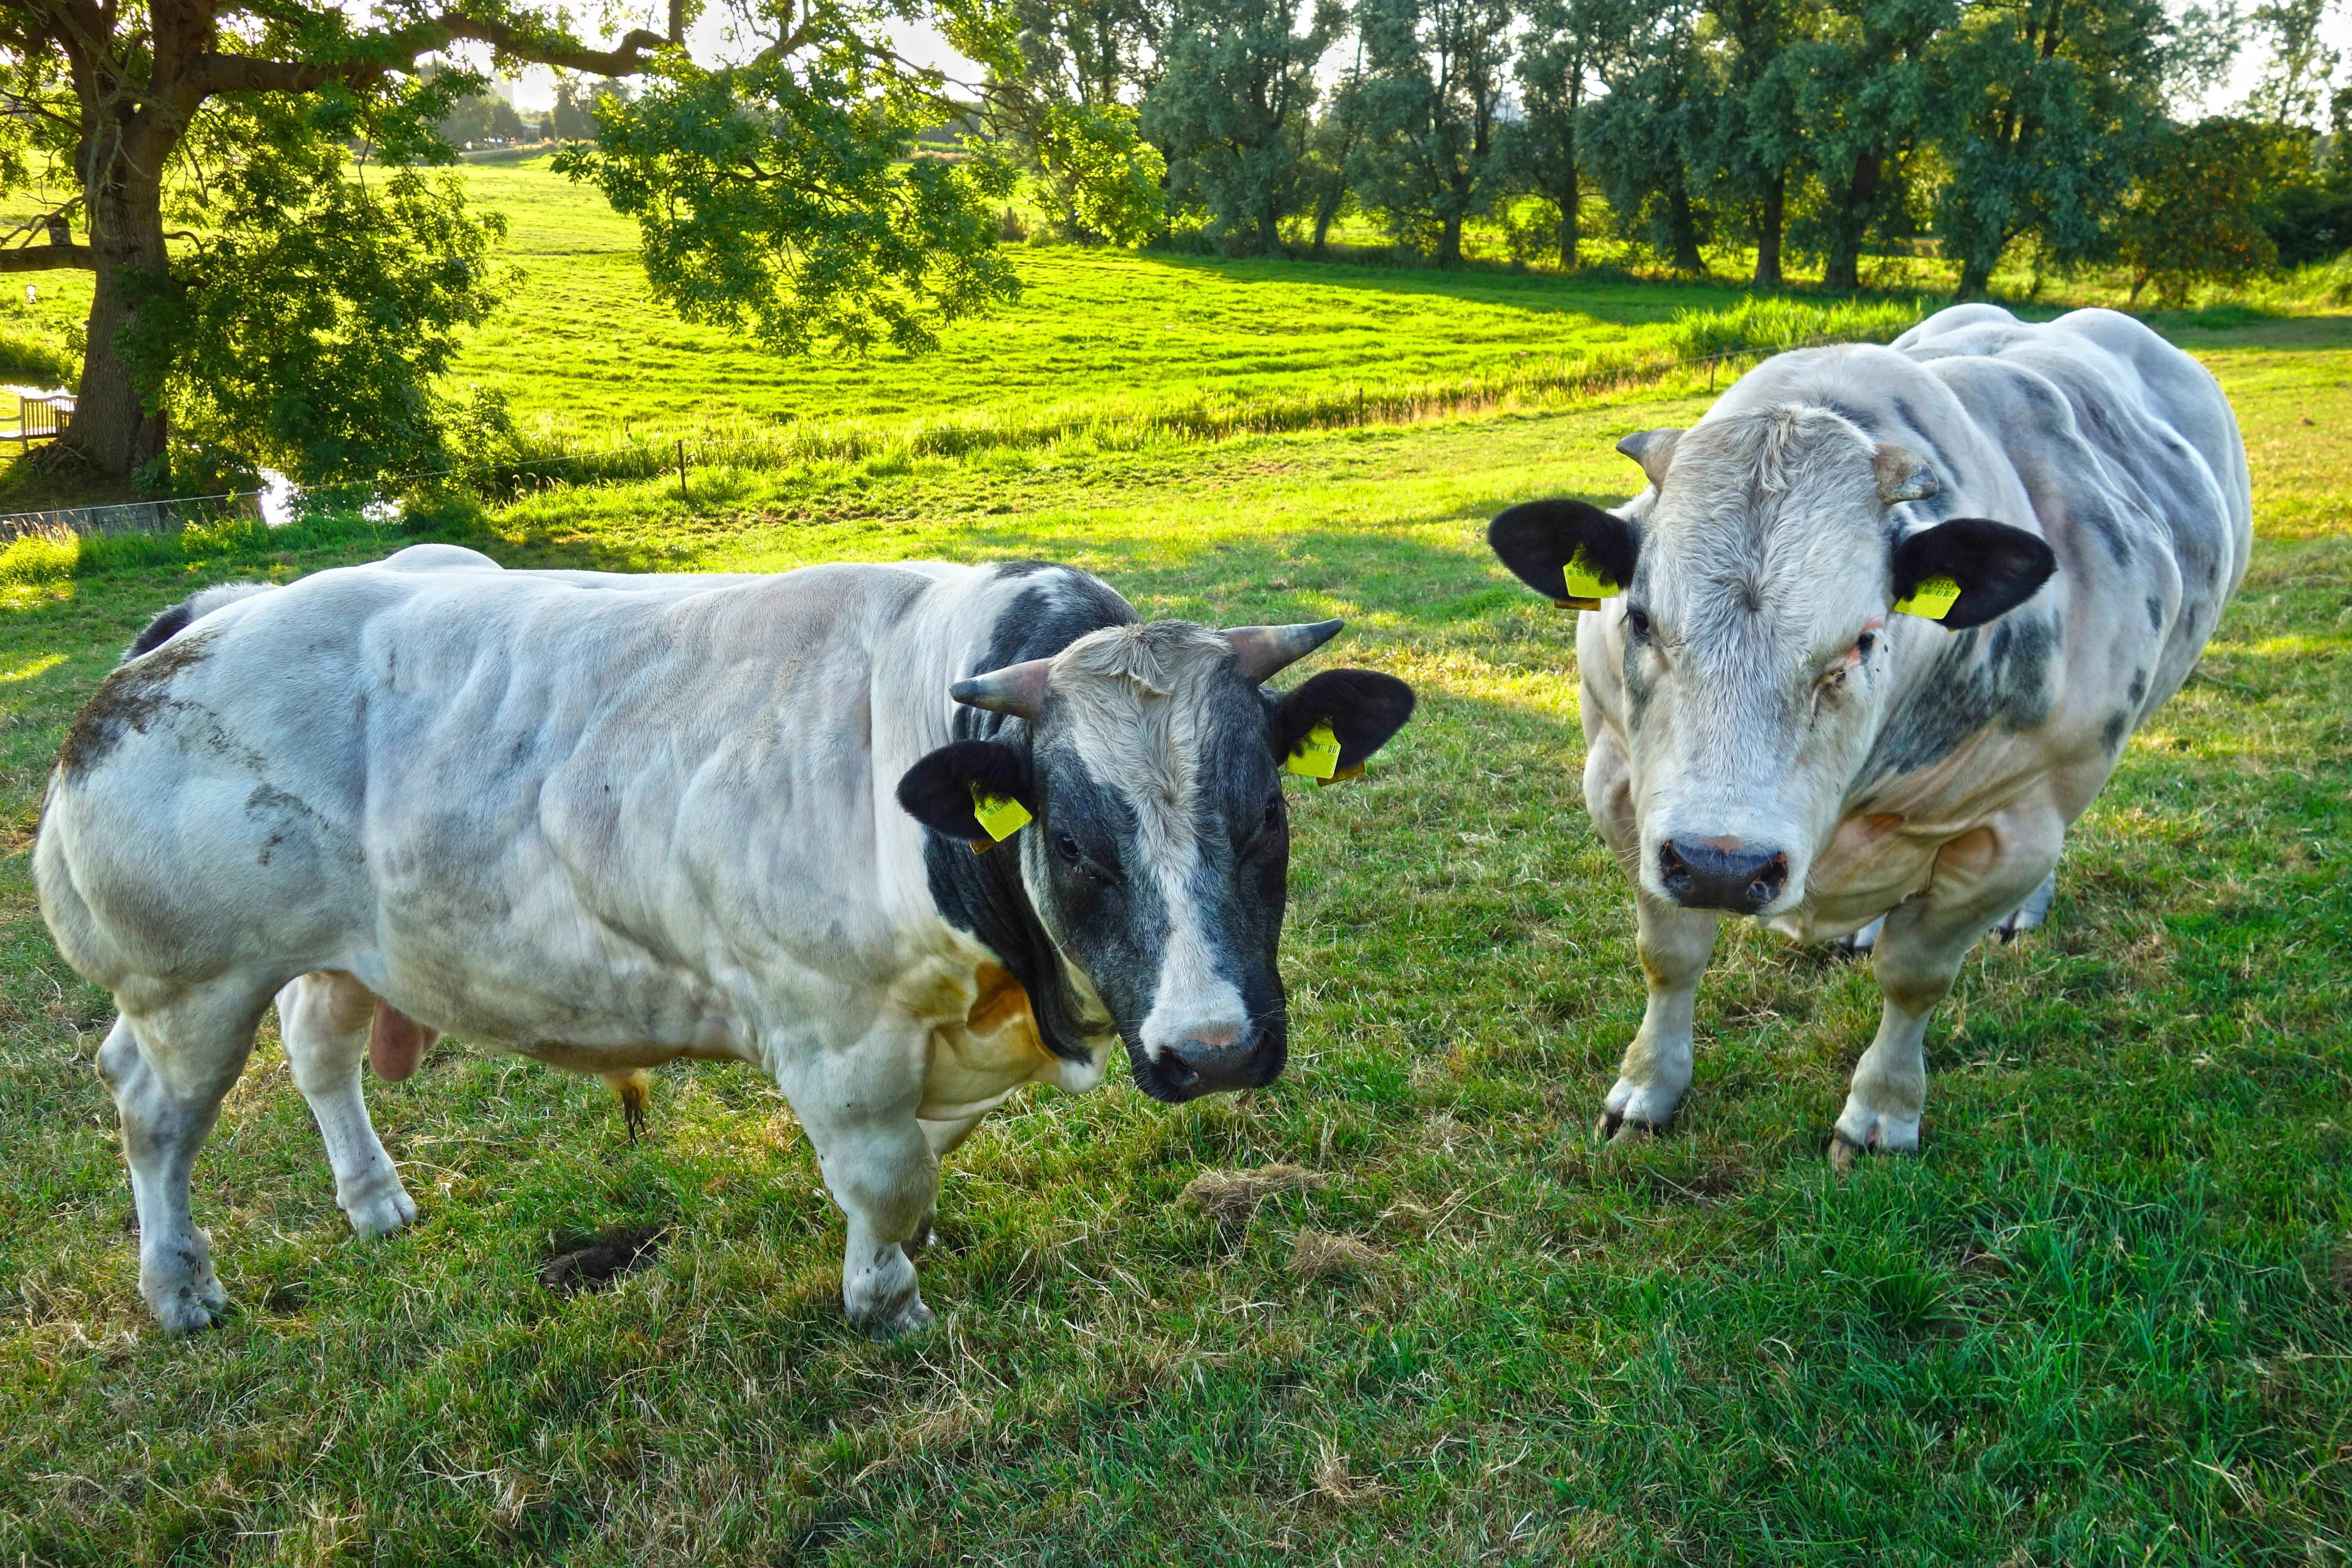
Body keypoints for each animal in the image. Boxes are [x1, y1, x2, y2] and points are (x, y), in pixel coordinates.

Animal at [36, 544, 1415, 1334]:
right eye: (1073, 842)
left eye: (1267, 812)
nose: (1212, 1048)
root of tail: (205, 619)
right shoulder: (834, 1032)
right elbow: (886, 1173)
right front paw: (885, 1298)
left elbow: (917, 1166)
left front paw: (897, 1257)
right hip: (184, 983)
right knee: (152, 1111)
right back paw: (180, 1285)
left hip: (341, 949)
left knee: (319, 1049)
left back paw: (375, 1201)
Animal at [1487, 305, 2250, 1164]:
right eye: (1641, 619)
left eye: (1862, 641)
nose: (1724, 866)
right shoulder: (1623, 793)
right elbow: (1670, 956)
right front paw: (1649, 1089)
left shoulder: (2014, 829)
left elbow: (1915, 978)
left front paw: (1882, 1112)